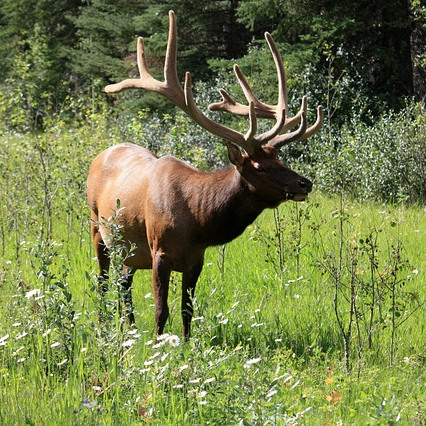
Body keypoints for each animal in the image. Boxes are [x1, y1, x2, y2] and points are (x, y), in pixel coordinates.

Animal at [86, 10, 322, 338]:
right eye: (260, 166)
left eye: (281, 158)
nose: (304, 183)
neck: (197, 221)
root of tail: (102, 153)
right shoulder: (159, 252)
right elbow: (161, 311)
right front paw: (159, 344)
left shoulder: (196, 258)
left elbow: (188, 311)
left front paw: (186, 344)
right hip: (97, 227)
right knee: (103, 281)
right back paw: (104, 325)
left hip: (127, 249)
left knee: (124, 284)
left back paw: (129, 328)